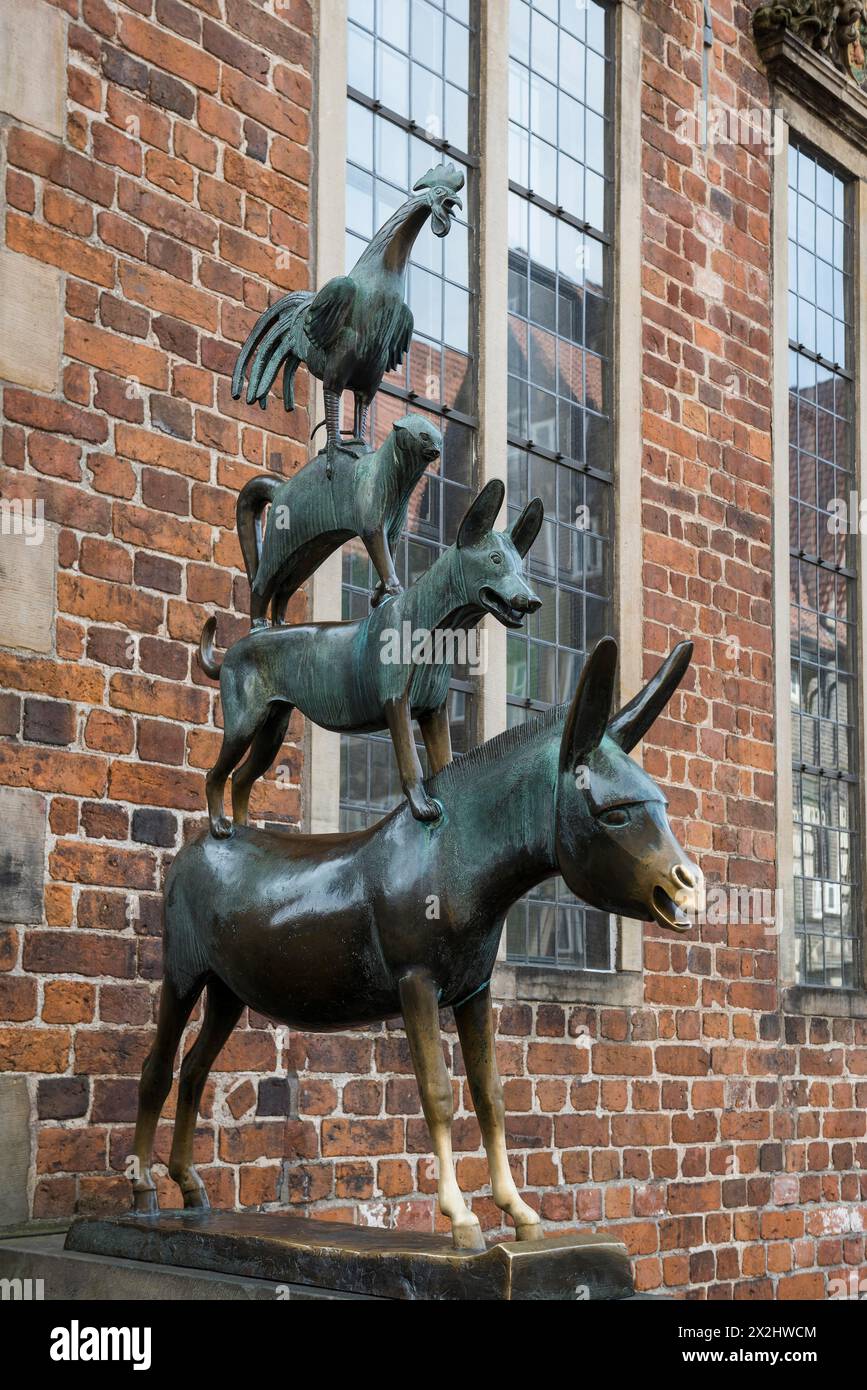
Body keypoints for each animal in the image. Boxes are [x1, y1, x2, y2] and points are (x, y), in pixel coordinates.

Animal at [200, 478, 544, 834]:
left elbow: (443, 763)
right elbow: (411, 763)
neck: (429, 624)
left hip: (273, 726)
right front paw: (422, 808)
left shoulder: (434, 712)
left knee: (241, 778)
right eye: (494, 559)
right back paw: (220, 826)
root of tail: (232, 652)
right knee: (215, 774)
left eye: (520, 567)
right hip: (244, 723)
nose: (532, 601)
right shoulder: (396, 704)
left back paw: (244, 832)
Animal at [234, 414, 439, 628]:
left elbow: (388, 558)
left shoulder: (393, 533)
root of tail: (279, 488)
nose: (436, 450)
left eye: (439, 439)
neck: (394, 480)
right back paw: (258, 625)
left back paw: (281, 625)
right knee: (261, 584)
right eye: (424, 436)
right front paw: (396, 591)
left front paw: (377, 595)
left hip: (308, 554)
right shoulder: (372, 528)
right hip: (278, 549)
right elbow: (384, 561)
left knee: (282, 591)